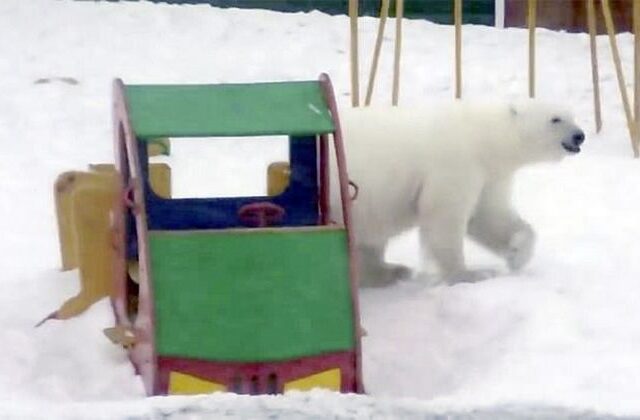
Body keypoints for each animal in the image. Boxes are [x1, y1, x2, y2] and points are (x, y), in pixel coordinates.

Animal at [332, 100, 588, 288]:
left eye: (572, 115)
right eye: (555, 118)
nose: (580, 135)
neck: (483, 137)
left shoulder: (489, 174)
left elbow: (489, 216)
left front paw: (517, 254)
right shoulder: (456, 163)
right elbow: (444, 216)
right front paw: (471, 274)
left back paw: (392, 271)